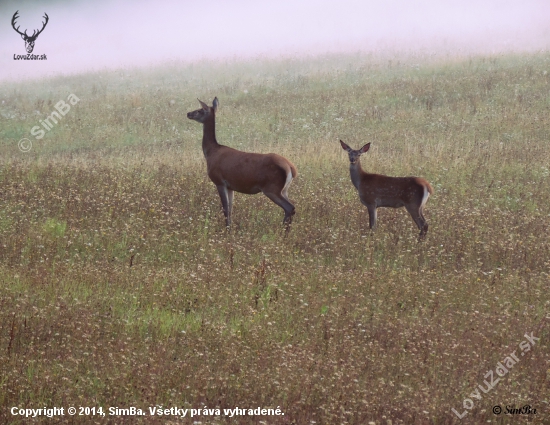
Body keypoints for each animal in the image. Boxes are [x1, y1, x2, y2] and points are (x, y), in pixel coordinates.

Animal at [187, 97, 300, 230]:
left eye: (200, 110)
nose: (188, 113)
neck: (211, 152)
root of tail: (291, 168)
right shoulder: (230, 186)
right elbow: (230, 209)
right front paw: (230, 229)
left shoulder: (219, 181)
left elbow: (225, 209)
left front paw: (227, 230)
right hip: (284, 189)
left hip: (272, 188)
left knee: (289, 208)